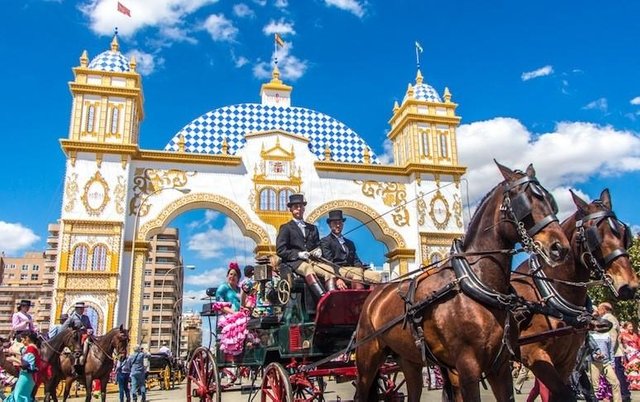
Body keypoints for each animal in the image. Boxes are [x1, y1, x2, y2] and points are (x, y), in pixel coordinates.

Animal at [356, 161, 568, 402]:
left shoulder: (500, 366)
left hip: (408, 357)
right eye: (524, 202)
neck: (481, 285)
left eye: (551, 201)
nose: (560, 248)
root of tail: (375, 294)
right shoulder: (467, 366)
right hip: (368, 355)